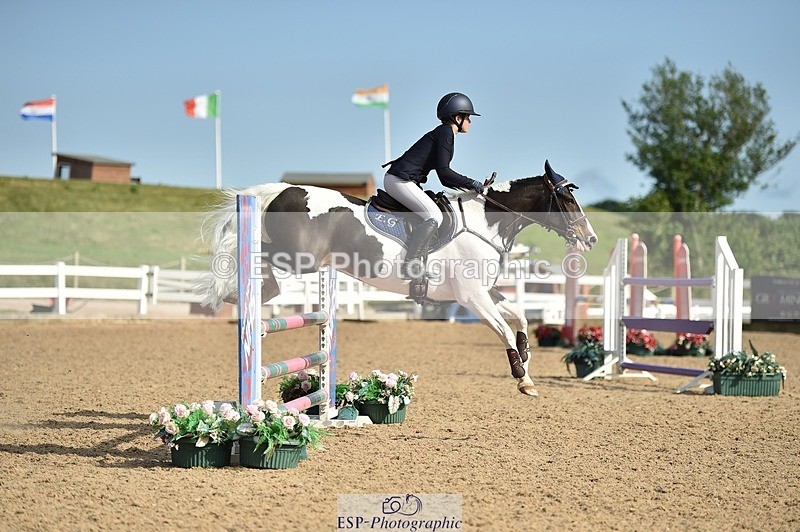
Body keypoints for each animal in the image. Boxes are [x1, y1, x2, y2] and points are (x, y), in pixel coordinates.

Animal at [198, 161, 597, 397]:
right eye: (567, 200)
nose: (590, 239)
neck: (486, 224)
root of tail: (282, 189)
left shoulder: (486, 291)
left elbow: (521, 317)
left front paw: (527, 358)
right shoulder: (471, 298)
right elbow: (502, 328)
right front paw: (522, 377)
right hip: (301, 258)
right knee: (256, 255)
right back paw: (244, 292)